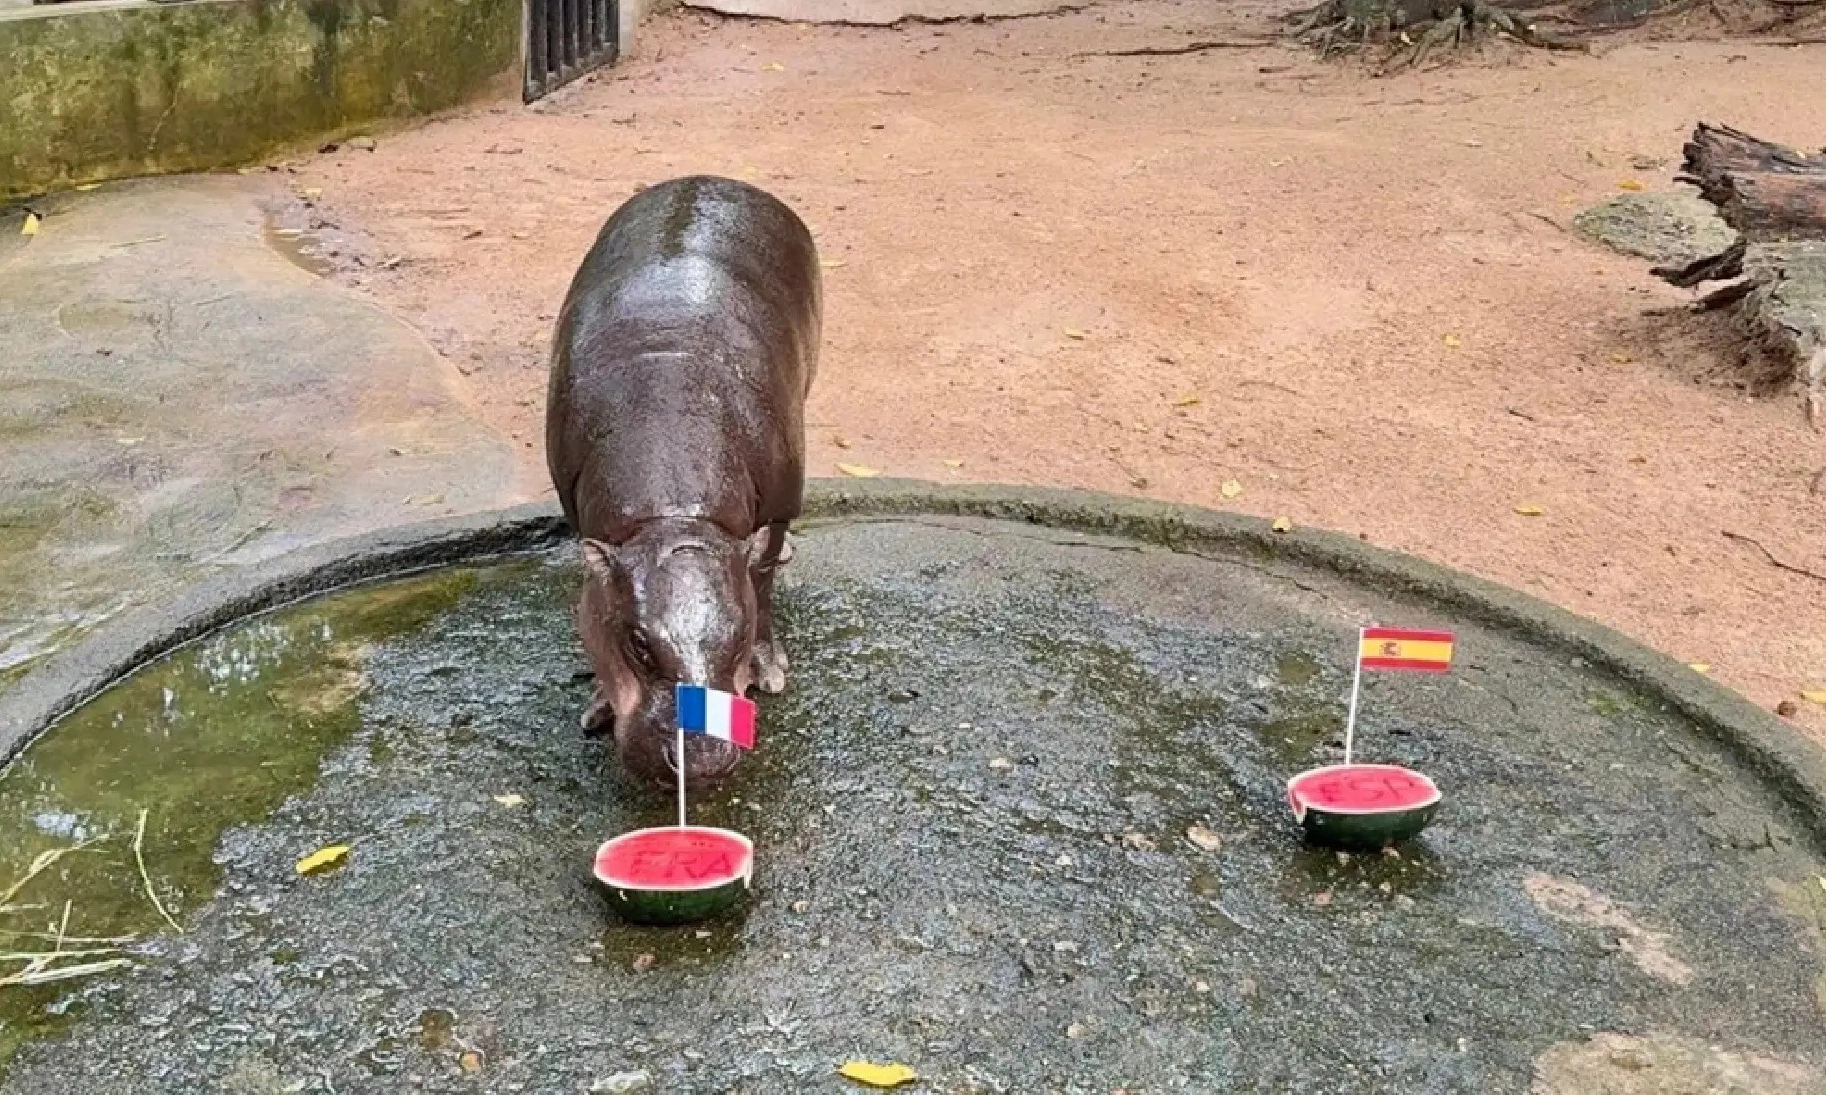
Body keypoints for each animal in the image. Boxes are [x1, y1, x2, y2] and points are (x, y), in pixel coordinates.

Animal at [546, 175, 820, 789]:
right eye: (637, 643)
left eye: (738, 632)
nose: (701, 760)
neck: (674, 515)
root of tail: (711, 179)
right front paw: (596, 707)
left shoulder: (776, 506)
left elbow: (762, 578)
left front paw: (770, 671)